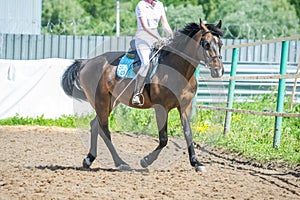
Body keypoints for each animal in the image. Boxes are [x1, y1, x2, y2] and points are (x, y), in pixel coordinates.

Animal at [62, 19, 224, 172]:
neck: (178, 70)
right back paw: (120, 162)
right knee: (104, 130)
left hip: (111, 102)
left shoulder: (185, 106)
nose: (218, 71)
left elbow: (188, 133)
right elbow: (164, 138)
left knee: (95, 125)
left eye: (221, 43)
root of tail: (86, 63)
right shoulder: (161, 108)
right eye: (206, 44)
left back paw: (89, 159)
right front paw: (146, 160)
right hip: (101, 101)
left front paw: (197, 163)